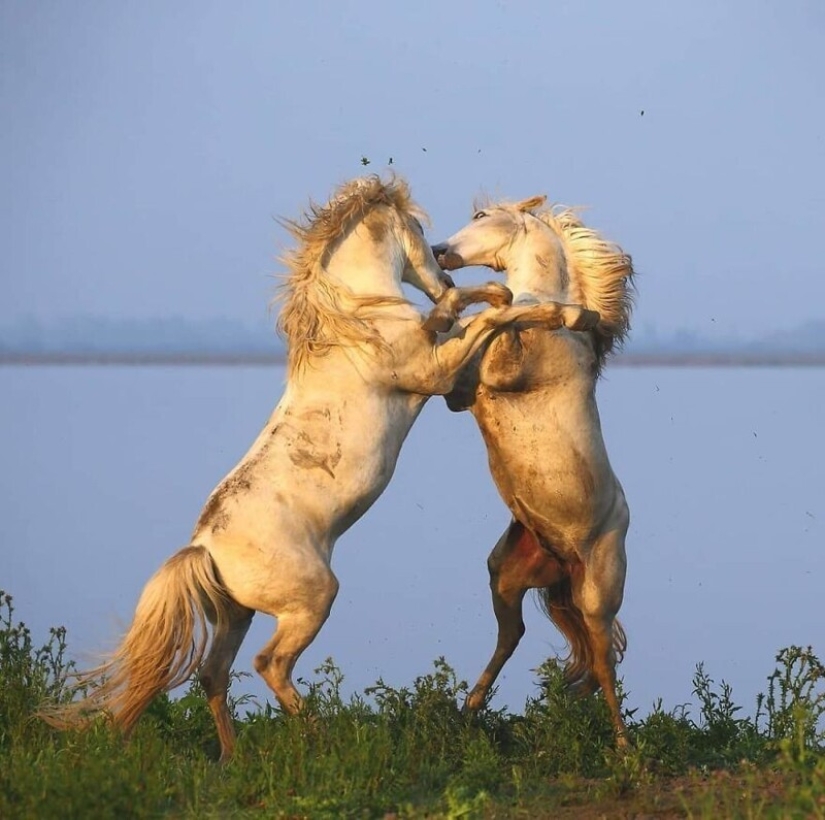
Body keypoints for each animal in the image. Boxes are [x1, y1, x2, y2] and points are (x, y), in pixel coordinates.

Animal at [45, 176, 596, 760]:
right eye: (419, 230)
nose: (444, 264)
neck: (360, 318)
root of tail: (205, 549)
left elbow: (475, 311)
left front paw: (502, 297)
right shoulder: (437, 375)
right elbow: (488, 320)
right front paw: (555, 313)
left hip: (237, 614)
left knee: (214, 675)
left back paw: (233, 758)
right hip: (311, 601)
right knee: (269, 665)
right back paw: (321, 740)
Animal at [432, 197, 636, 744]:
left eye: (482, 216)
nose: (438, 250)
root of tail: (562, 558)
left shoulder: (502, 370)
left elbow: (504, 313)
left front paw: (569, 312)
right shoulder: (461, 393)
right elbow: (479, 323)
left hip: (598, 593)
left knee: (604, 662)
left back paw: (624, 745)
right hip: (504, 575)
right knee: (513, 635)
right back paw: (468, 710)